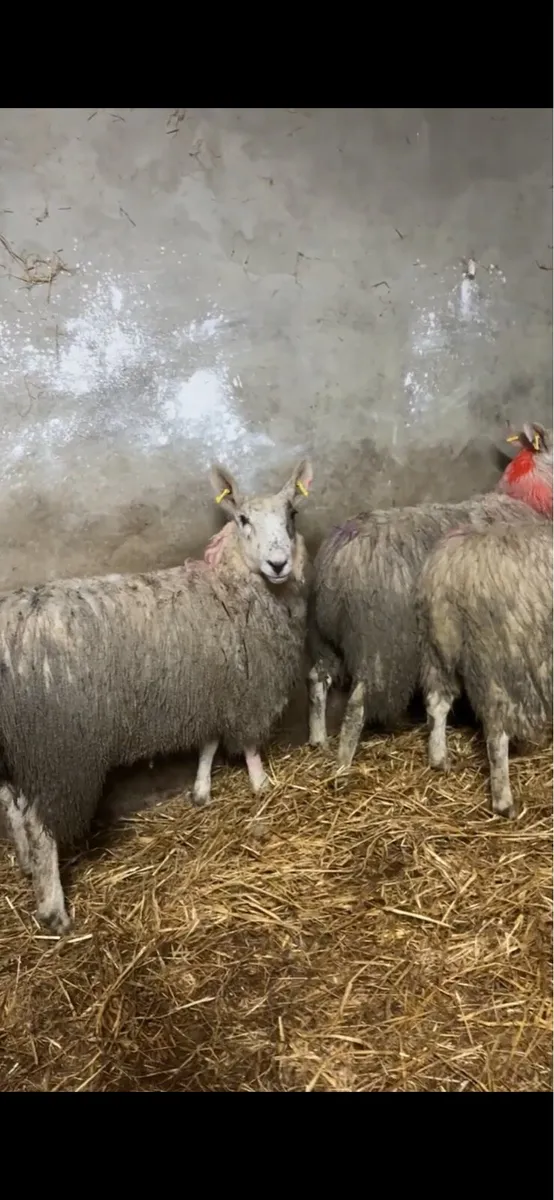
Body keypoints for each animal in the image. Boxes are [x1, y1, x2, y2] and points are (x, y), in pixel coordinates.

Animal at [0, 457, 314, 934]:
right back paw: (55, 912)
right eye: (243, 519)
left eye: (292, 514)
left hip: (17, 748)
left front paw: (201, 791)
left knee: (11, 810)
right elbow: (249, 744)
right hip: (56, 749)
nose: (278, 563)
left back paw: (25, 867)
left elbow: (208, 742)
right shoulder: (247, 688)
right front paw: (262, 785)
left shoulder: (210, 686)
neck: (231, 584)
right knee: (39, 825)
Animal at [308, 424, 552, 770]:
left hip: (324, 636)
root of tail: (341, 559)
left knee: (317, 679)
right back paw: (343, 764)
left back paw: (318, 739)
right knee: (357, 704)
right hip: (381, 644)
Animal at [416, 519, 552, 818]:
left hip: (438, 650)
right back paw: (504, 802)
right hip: (501, 661)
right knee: (496, 737)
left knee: (436, 703)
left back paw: (439, 758)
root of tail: (455, 570)